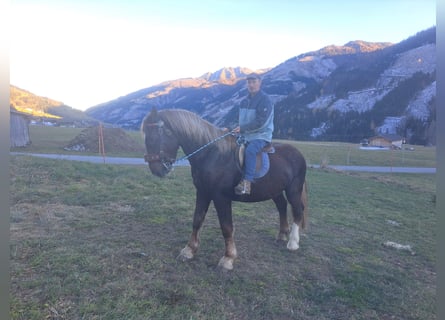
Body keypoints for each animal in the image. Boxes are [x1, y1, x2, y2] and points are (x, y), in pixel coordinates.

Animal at [140, 108, 306, 270]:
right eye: (146, 138)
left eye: (155, 137)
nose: (156, 170)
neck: (212, 155)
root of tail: (297, 153)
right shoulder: (203, 192)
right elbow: (197, 220)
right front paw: (189, 250)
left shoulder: (221, 197)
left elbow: (226, 227)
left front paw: (228, 258)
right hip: (275, 190)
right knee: (282, 206)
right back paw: (282, 235)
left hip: (293, 190)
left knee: (297, 211)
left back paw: (292, 243)